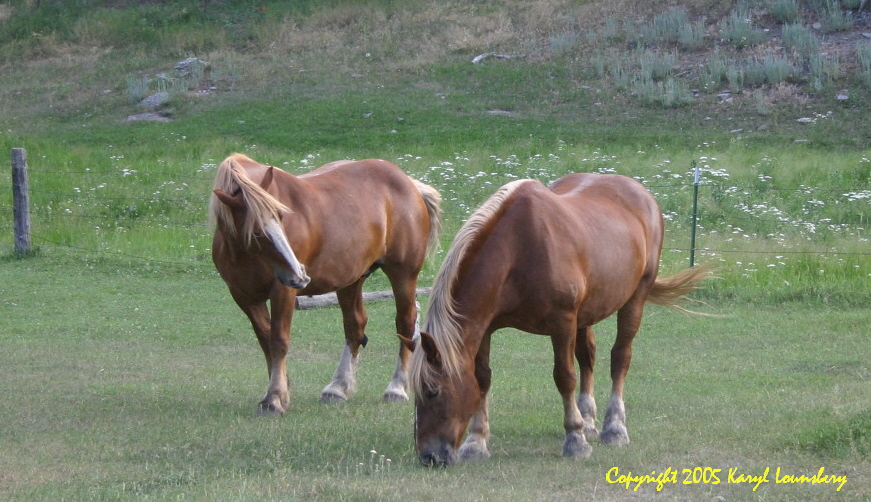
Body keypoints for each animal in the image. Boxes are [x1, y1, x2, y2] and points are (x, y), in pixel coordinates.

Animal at [210, 153, 441, 415]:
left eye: (282, 216)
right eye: (257, 232)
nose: (299, 274)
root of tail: (409, 183)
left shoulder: (283, 291)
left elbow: (278, 340)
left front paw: (274, 398)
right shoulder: (244, 297)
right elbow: (265, 340)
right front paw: (282, 390)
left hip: (403, 274)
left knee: (406, 323)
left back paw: (396, 388)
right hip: (351, 279)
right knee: (355, 325)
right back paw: (337, 388)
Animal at [401, 173, 710, 466]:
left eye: (432, 392)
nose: (429, 457)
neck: (518, 251)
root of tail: (642, 194)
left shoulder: (562, 323)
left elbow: (564, 377)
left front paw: (575, 440)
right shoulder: (484, 328)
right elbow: (482, 379)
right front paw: (476, 442)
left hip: (634, 299)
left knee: (620, 358)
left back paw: (614, 427)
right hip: (587, 314)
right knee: (588, 357)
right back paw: (588, 420)